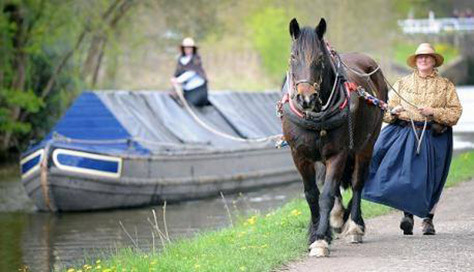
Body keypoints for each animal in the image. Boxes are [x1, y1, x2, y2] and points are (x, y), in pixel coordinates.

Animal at [280, 18, 386, 258]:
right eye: (293, 56)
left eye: (320, 58)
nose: (306, 98)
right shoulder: (299, 155)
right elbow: (312, 194)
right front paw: (316, 232)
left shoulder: (339, 153)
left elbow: (326, 194)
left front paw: (320, 239)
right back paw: (337, 218)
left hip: (365, 145)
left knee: (357, 182)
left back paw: (354, 225)